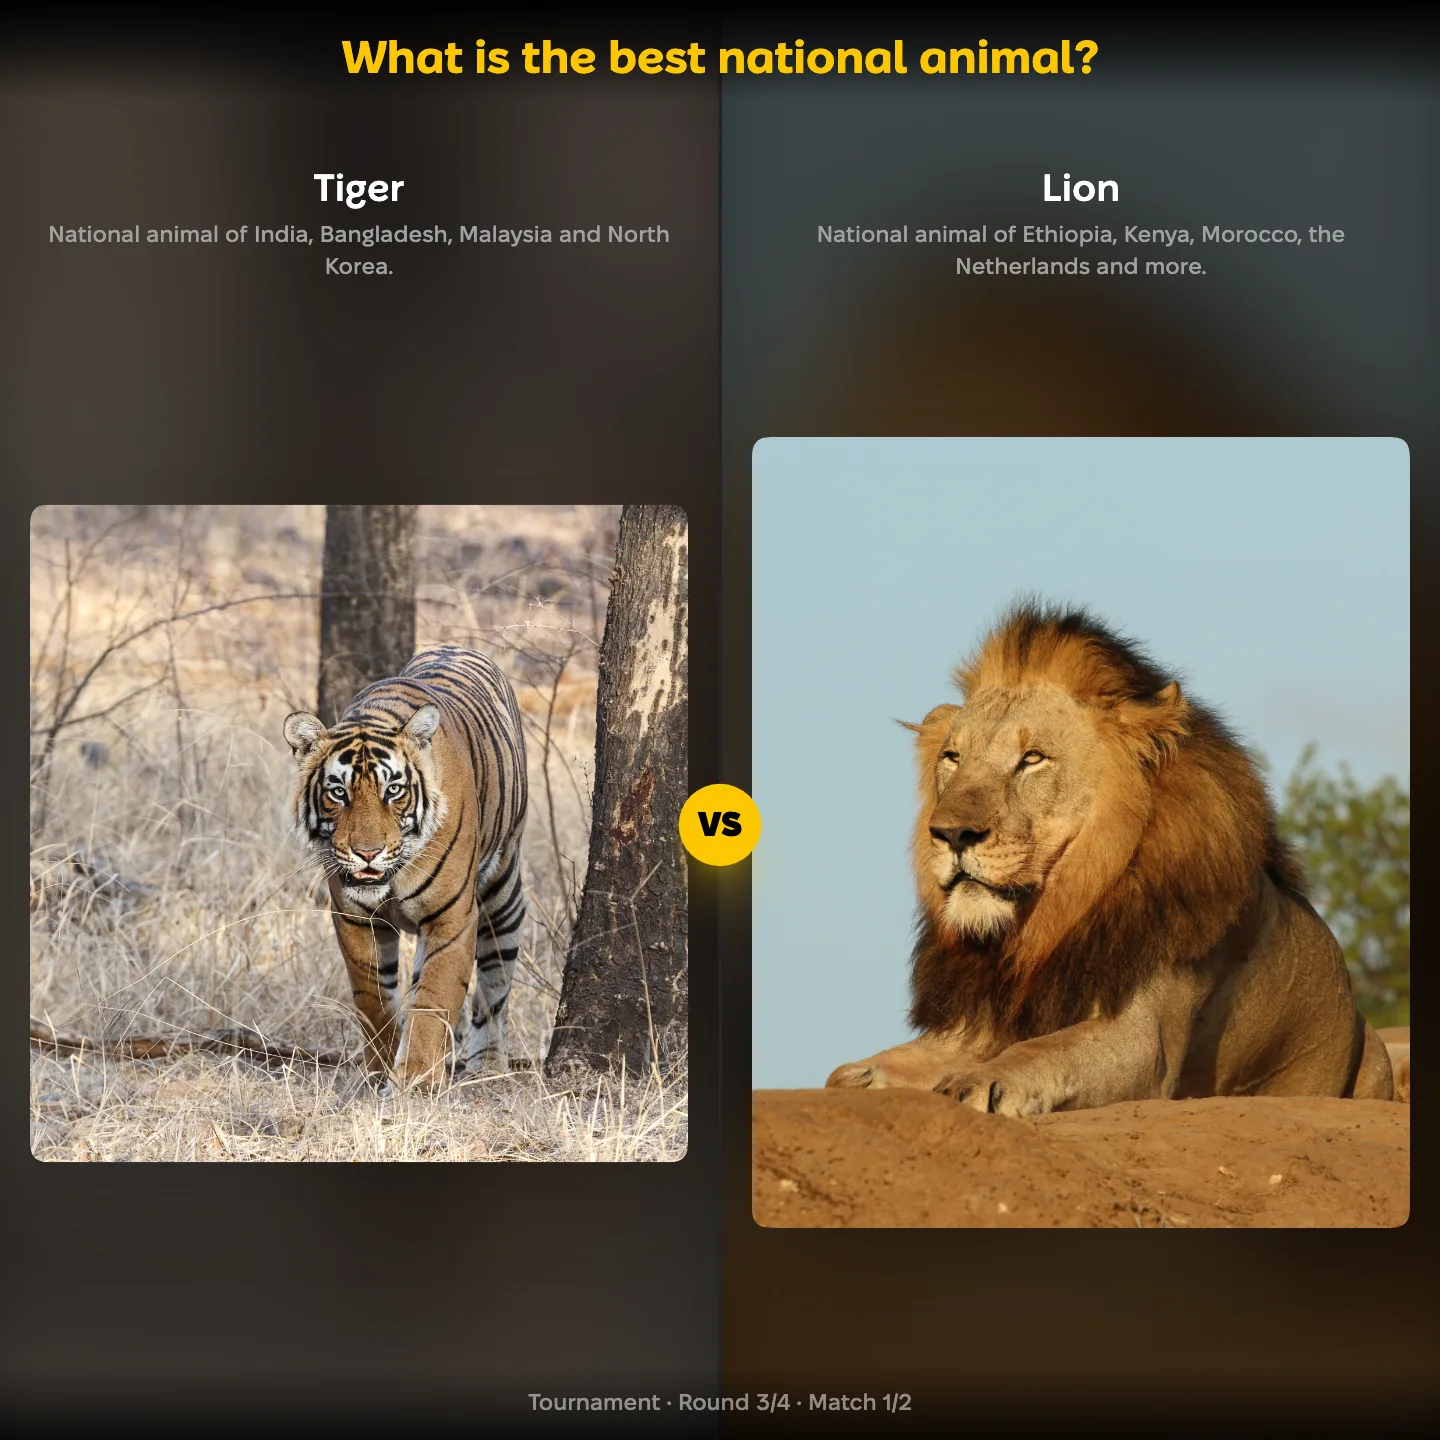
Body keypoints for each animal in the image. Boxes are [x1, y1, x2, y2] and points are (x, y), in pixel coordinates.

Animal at [283, 645, 528, 1091]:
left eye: (393, 790)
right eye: (338, 793)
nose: (367, 853)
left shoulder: (451, 917)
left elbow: (433, 999)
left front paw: (416, 1079)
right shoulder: (354, 917)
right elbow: (373, 998)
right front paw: (380, 1069)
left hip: (504, 892)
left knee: (493, 987)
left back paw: (487, 1064)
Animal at [827, 602, 1395, 1115]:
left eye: (1032, 758)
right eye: (953, 757)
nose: (950, 833)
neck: (1049, 920)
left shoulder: (1144, 1039)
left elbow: (1042, 1051)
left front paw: (979, 1083)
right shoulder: (980, 1020)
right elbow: (860, 1070)